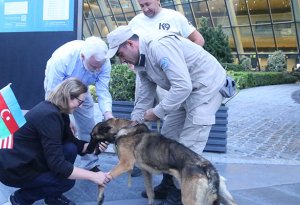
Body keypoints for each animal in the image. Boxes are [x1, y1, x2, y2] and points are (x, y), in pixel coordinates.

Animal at [86, 118, 237, 205]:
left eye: (93, 136)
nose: (86, 150)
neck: (124, 128)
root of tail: (207, 167)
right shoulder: (146, 172)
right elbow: (150, 193)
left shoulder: (125, 164)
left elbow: (103, 180)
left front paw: (100, 197)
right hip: (226, 198)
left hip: (189, 199)